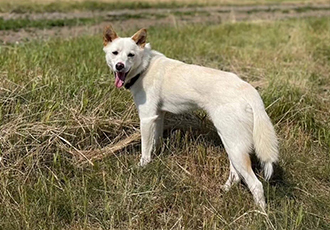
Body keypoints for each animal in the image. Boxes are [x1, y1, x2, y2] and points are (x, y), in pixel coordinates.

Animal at [102, 25, 278, 208]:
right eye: (115, 53)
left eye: (131, 55)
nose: (119, 66)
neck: (145, 67)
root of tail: (248, 89)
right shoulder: (158, 116)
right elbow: (155, 143)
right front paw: (155, 158)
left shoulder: (147, 118)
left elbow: (145, 149)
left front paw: (142, 166)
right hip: (231, 142)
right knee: (236, 175)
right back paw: (224, 190)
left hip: (234, 145)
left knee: (256, 185)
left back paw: (261, 212)